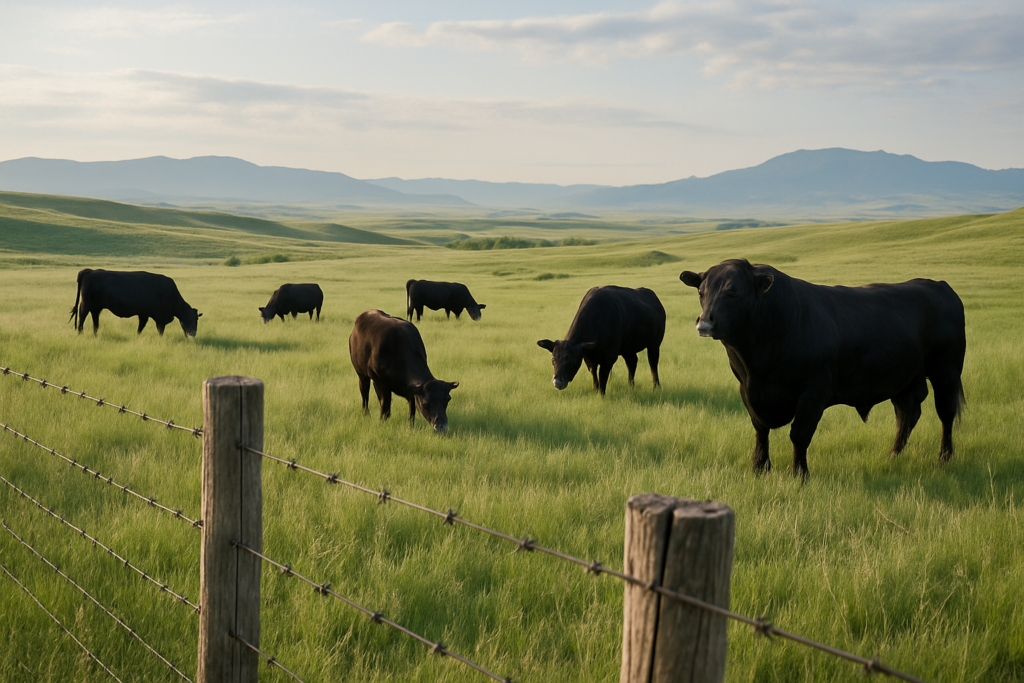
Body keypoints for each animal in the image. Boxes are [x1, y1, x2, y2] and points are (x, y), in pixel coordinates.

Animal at [70, 269, 202, 337]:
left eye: (196, 320)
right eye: (190, 319)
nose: (193, 334)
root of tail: (91, 271)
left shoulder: (144, 314)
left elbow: (140, 328)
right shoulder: (158, 317)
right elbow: (158, 330)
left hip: (96, 308)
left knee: (95, 322)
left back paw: (95, 335)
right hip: (85, 304)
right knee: (82, 317)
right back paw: (80, 333)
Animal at [537, 286, 665, 395]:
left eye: (572, 360)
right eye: (553, 359)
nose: (557, 382)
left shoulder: (609, 357)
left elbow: (602, 375)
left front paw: (601, 394)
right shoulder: (588, 357)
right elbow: (593, 372)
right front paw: (595, 389)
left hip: (654, 345)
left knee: (653, 364)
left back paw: (656, 386)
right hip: (628, 349)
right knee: (632, 363)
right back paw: (631, 386)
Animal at [680, 258, 966, 479]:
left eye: (734, 291)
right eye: (701, 292)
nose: (705, 322)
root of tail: (939, 285)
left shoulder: (813, 393)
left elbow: (799, 434)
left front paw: (799, 474)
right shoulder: (747, 390)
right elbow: (760, 430)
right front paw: (759, 468)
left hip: (946, 372)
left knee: (945, 414)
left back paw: (945, 457)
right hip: (905, 380)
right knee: (907, 415)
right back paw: (893, 455)